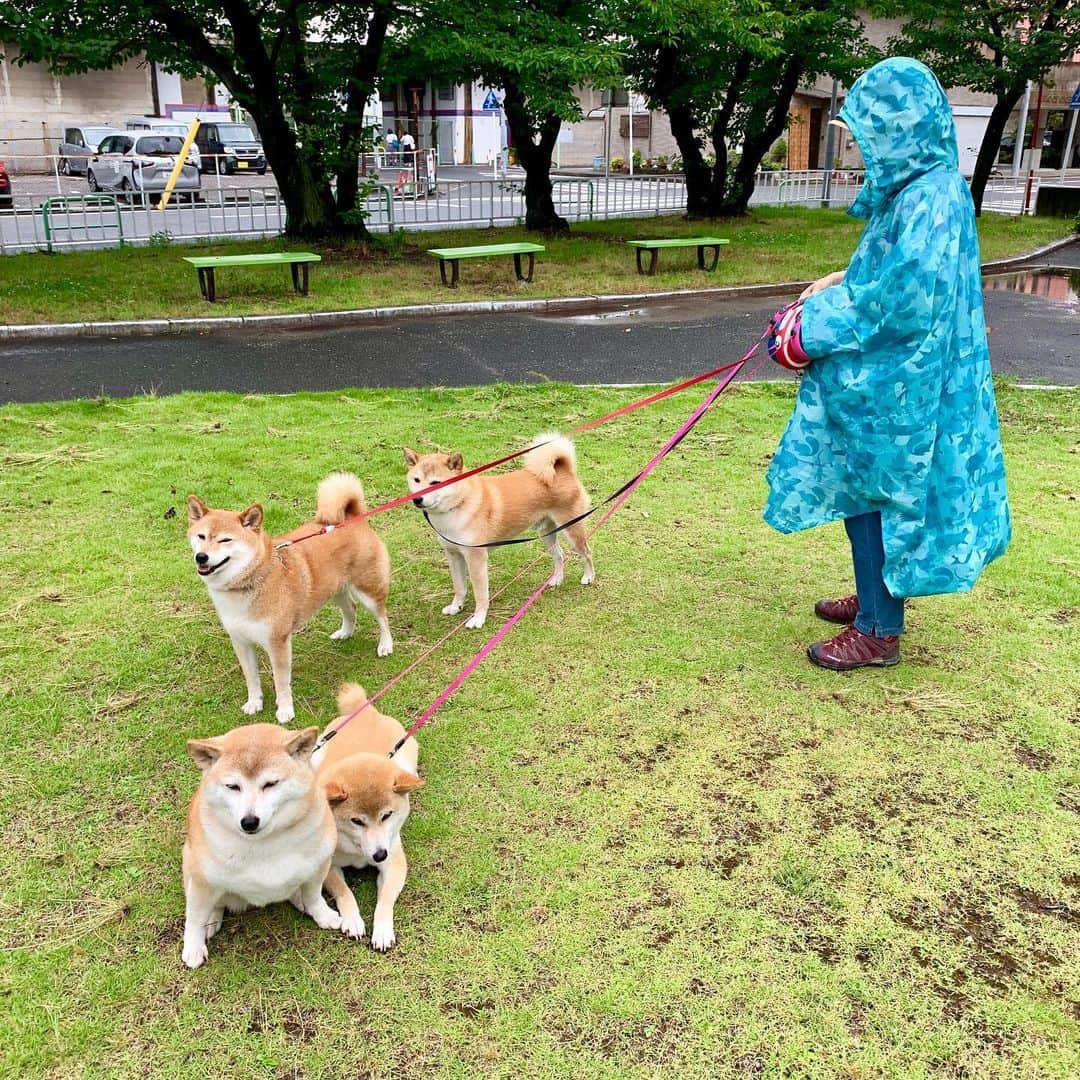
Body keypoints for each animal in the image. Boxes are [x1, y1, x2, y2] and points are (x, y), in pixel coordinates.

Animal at [181, 721, 339, 967]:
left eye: (271, 784)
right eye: (232, 786)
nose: (249, 821)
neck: (264, 844)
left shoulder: (319, 865)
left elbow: (314, 895)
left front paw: (322, 914)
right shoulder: (201, 880)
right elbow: (195, 917)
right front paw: (193, 947)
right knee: (214, 903)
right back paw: (212, 918)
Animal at [187, 475, 395, 721]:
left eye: (225, 540)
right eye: (201, 536)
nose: (201, 557)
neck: (247, 584)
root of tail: (353, 517)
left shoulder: (277, 643)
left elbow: (280, 681)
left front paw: (285, 710)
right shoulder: (240, 641)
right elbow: (251, 679)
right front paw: (254, 703)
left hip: (367, 589)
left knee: (382, 617)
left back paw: (385, 644)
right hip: (333, 590)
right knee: (350, 608)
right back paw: (345, 633)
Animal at [311, 686, 423, 950]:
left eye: (387, 815)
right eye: (357, 821)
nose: (380, 854)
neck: (358, 851)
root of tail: (366, 712)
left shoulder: (394, 862)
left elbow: (386, 900)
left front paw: (382, 930)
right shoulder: (329, 865)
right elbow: (344, 892)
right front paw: (352, 919)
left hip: (405, 759)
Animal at [406, 434, 596, 630]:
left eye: (435, 483)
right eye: (416, 480)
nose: (417, 499)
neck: (459, 505)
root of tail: (562, 470)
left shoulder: (476, 558)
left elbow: (480, 593)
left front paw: (478, 618)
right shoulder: (453, 554)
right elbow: (459, 587)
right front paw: (456, 607)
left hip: (571, 529)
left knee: (587, 552)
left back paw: (588, 577)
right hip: (547, 532)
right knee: (560, 556)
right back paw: (557, 579)